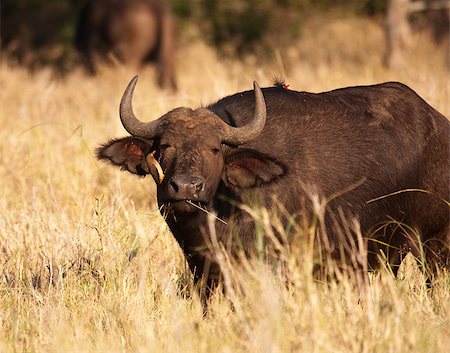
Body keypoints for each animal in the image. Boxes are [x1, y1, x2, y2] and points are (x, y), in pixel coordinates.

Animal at [97, 76, 450, 288]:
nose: (185, 187)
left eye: (215, 149)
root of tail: (439, 124)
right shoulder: (204, 271)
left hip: (435, 247)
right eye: (165, 147)